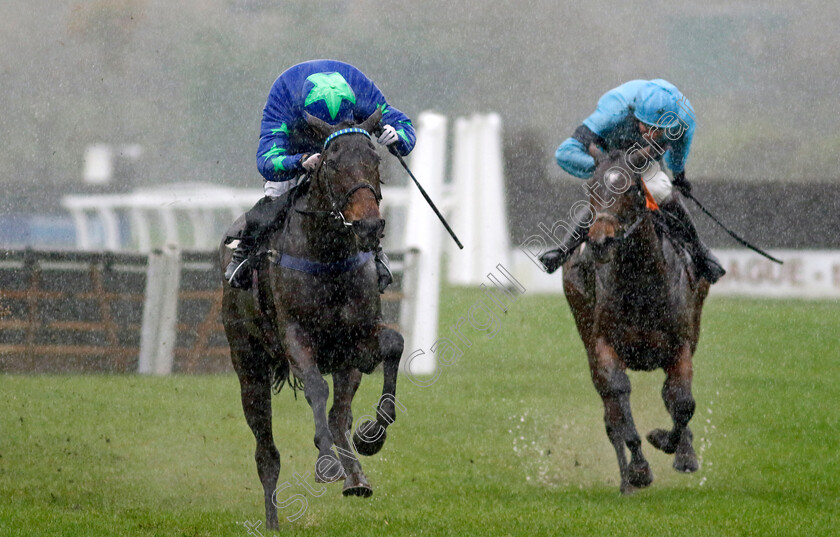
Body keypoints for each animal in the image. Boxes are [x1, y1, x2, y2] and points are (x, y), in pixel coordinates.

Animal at [220, 109, 404, 528]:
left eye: (375, 159)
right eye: (331, 163)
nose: (369, 226)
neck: (328, 256)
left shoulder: (355, 340)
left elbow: (394, 345)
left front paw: (373, 435)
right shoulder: (295, 337)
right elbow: (316, 390)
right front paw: (326, 465)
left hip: (343, 363)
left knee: (339, 415)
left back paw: (357, 477)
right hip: (248, 367)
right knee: (266, 452)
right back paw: (273, 522)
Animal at [564, 151, 708, 494]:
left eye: (630, 188)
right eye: (591, 187)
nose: (600, 240)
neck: (640, 281)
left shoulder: (680, 345)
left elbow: (682, 402)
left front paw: (677, 449)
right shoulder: (603, 346)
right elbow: (618, 402)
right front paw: (639, 469)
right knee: (610, 415)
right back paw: (626, 480)